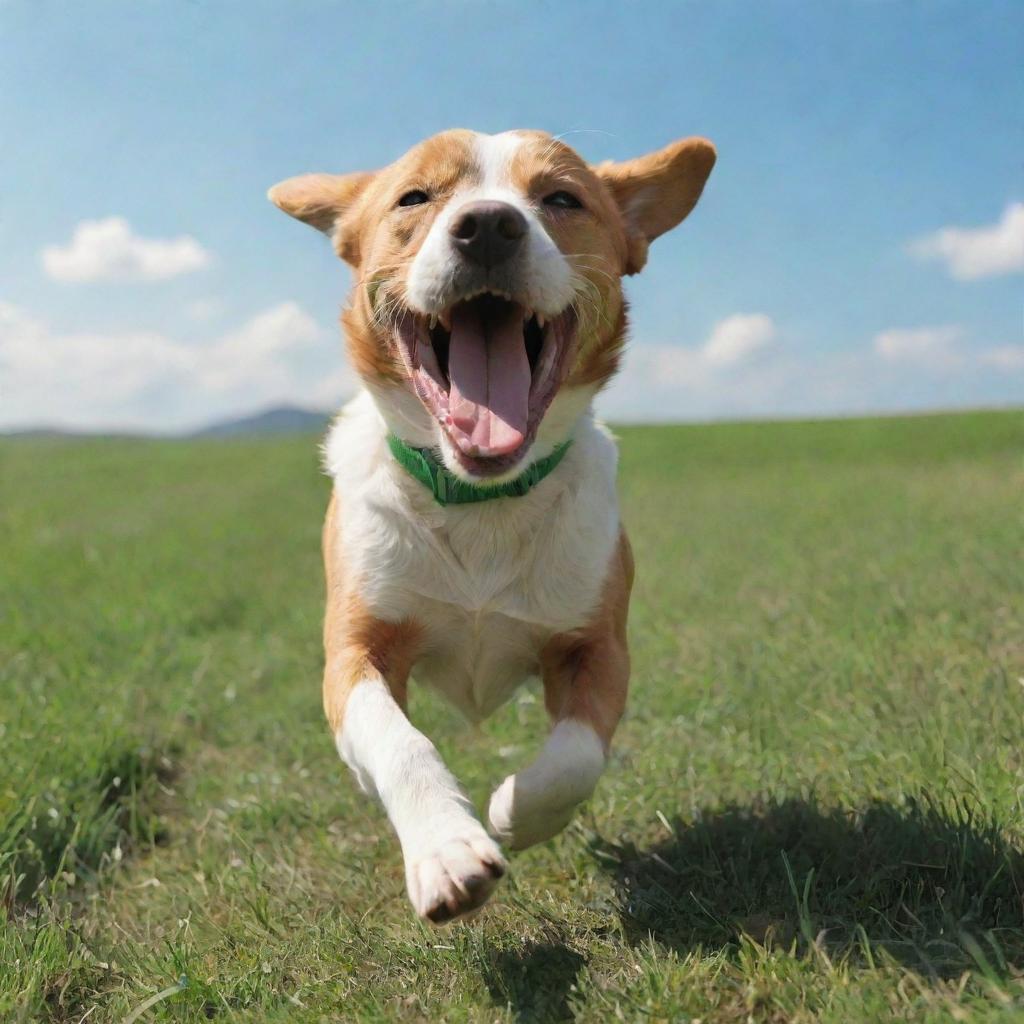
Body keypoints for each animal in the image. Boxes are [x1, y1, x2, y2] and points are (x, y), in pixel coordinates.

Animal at [268, 132, 716, 925]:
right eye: (414, 197)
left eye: (563, 198)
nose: (487, 227)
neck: (479, 500)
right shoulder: (354, 650)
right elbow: (399, 743)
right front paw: (448, 851)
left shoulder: (597, 644)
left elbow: (577, 755)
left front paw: (513, 808)